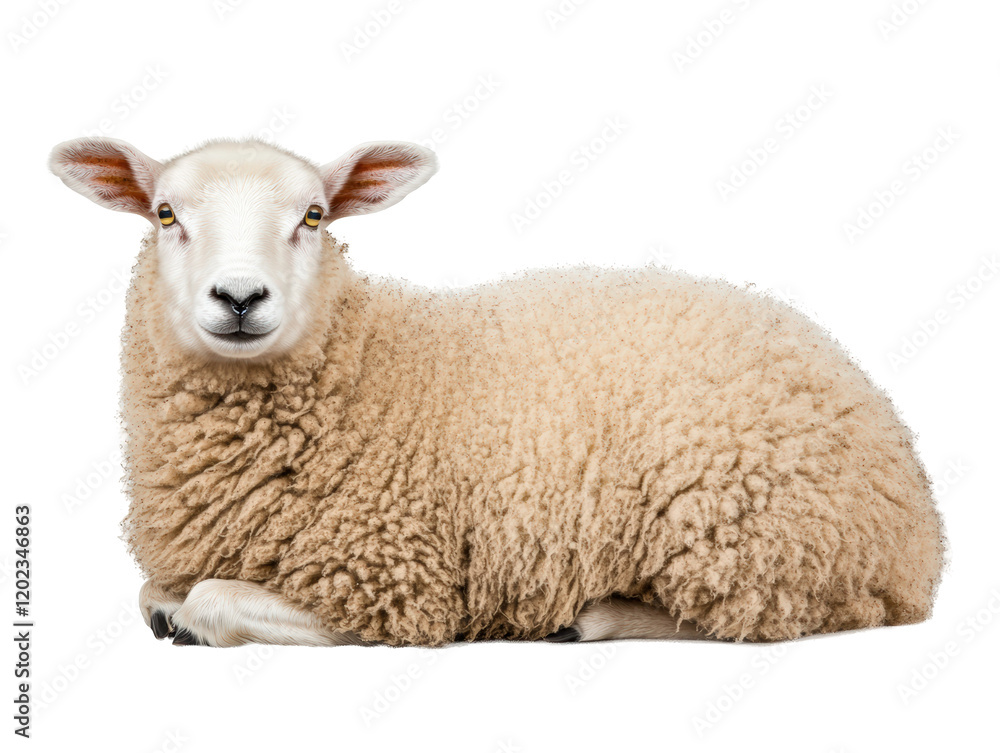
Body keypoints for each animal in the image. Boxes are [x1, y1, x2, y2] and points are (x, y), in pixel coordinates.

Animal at [48, 135, 945, 647]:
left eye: (314, 215)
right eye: (165, 213)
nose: (239, 298)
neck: (371, 367)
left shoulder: (397, 584)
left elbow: (211, 598)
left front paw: (191, 617)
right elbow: (152, 590)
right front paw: (163, 607)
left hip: (757, 543)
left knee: (760, 617)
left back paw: (593, 616)